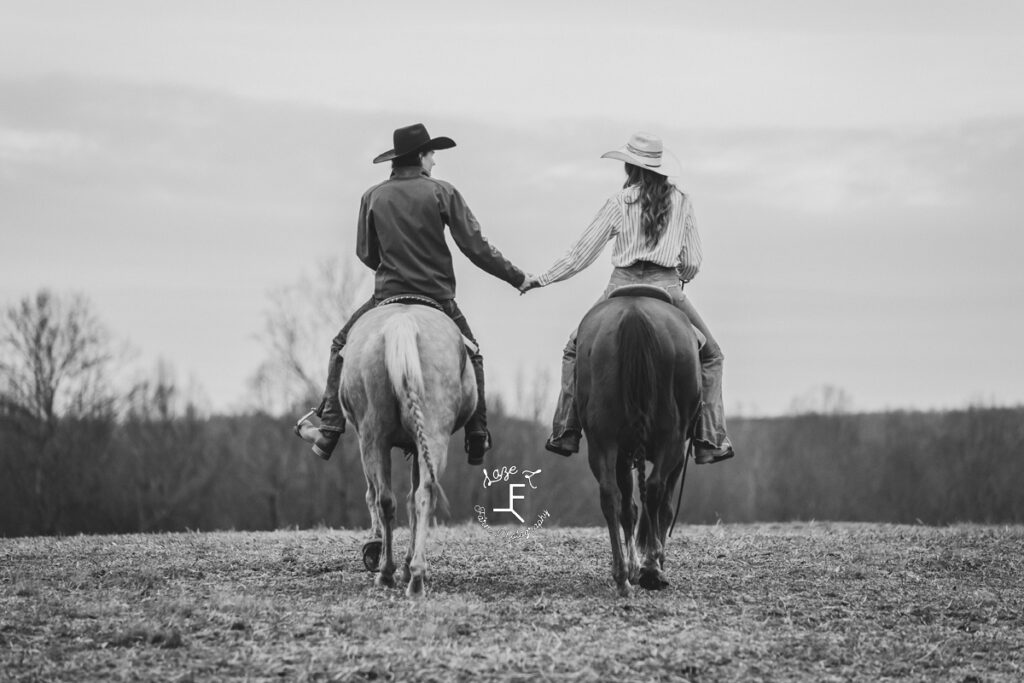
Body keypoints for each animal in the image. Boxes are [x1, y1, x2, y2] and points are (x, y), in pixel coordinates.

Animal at [339, 305, 475, 598]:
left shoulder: (366, 440)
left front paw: (376, 548)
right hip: (432, 433)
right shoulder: (415, 445)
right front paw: (406, 564)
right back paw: (416, 577)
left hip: (373, 437)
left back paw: (387, 572)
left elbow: (374, 495)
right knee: (422, 494)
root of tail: (402, 323)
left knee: (385, 498)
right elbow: (412, 500)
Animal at [577, 286, 704, 593]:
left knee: (611, 496)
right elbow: (663, 507)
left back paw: (622, 575)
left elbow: (629, 508)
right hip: (671, 440)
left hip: (602, 441)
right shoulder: (677, 452)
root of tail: (635, 314)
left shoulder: (623, 453)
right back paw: (651, 566)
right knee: (656, 489)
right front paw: (651, 564)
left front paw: (635, 567)